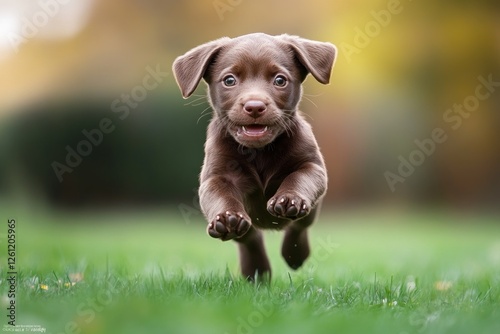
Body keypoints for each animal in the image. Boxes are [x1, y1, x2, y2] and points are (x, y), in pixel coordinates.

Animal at [174, 33, 338, 280]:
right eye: (229, 80)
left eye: (280, 80)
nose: (254, 106)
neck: (258, 151)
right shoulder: (216, 177)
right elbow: (221, 195)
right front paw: (227, 217)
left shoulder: (312, 166)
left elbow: (299, 177)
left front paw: (288, 199)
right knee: (250, 238)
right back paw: (257, 271)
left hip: (312, 210)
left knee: (299, 226)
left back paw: (294, 254)